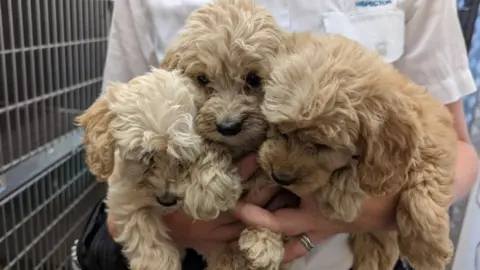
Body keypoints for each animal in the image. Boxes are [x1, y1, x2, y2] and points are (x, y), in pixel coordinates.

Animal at [77, 67, 246, 270]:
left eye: (182, 159)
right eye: (145, 158)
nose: (167, 200)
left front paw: (209, 189)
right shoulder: (123, 198)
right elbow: (141, 224)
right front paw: (157, 264)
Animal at [161, 0, 288, 270]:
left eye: (253, 79)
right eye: (202, 79)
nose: (228, 127)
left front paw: (264, 242)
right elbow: (206, 145)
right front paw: (208, 188)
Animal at [258, 33, 458, 270]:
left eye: (323, 146)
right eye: (279, 128)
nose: (279, 177)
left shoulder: (437, 137)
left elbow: (425, 187)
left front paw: (426, 250)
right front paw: (342, 191)